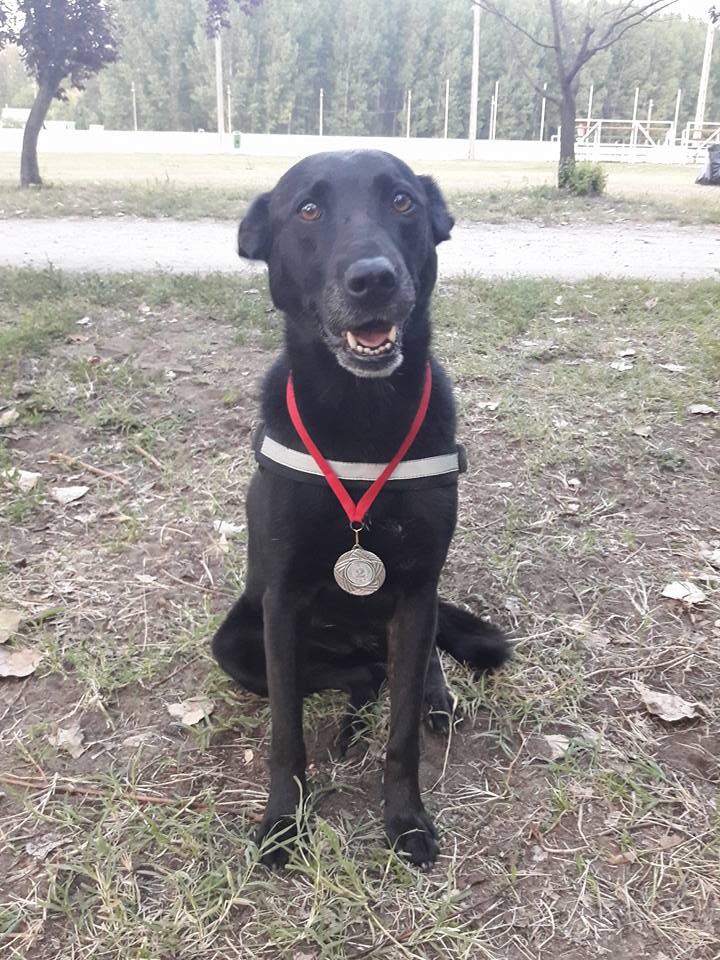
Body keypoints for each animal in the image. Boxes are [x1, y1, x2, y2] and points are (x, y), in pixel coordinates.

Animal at [213, 150, 509, 868]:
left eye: (402, 202)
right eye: (308, 210)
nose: (374, 279)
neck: (361, 417)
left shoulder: (417, 591)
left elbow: (400, 736)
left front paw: (404, 818)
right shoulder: (282, 603)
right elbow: (286, 730)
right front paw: (283, 820)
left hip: (412, 616)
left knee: (405, 666)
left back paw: (432, 697)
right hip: (239, 643)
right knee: (359, 674)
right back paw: (348, 725)